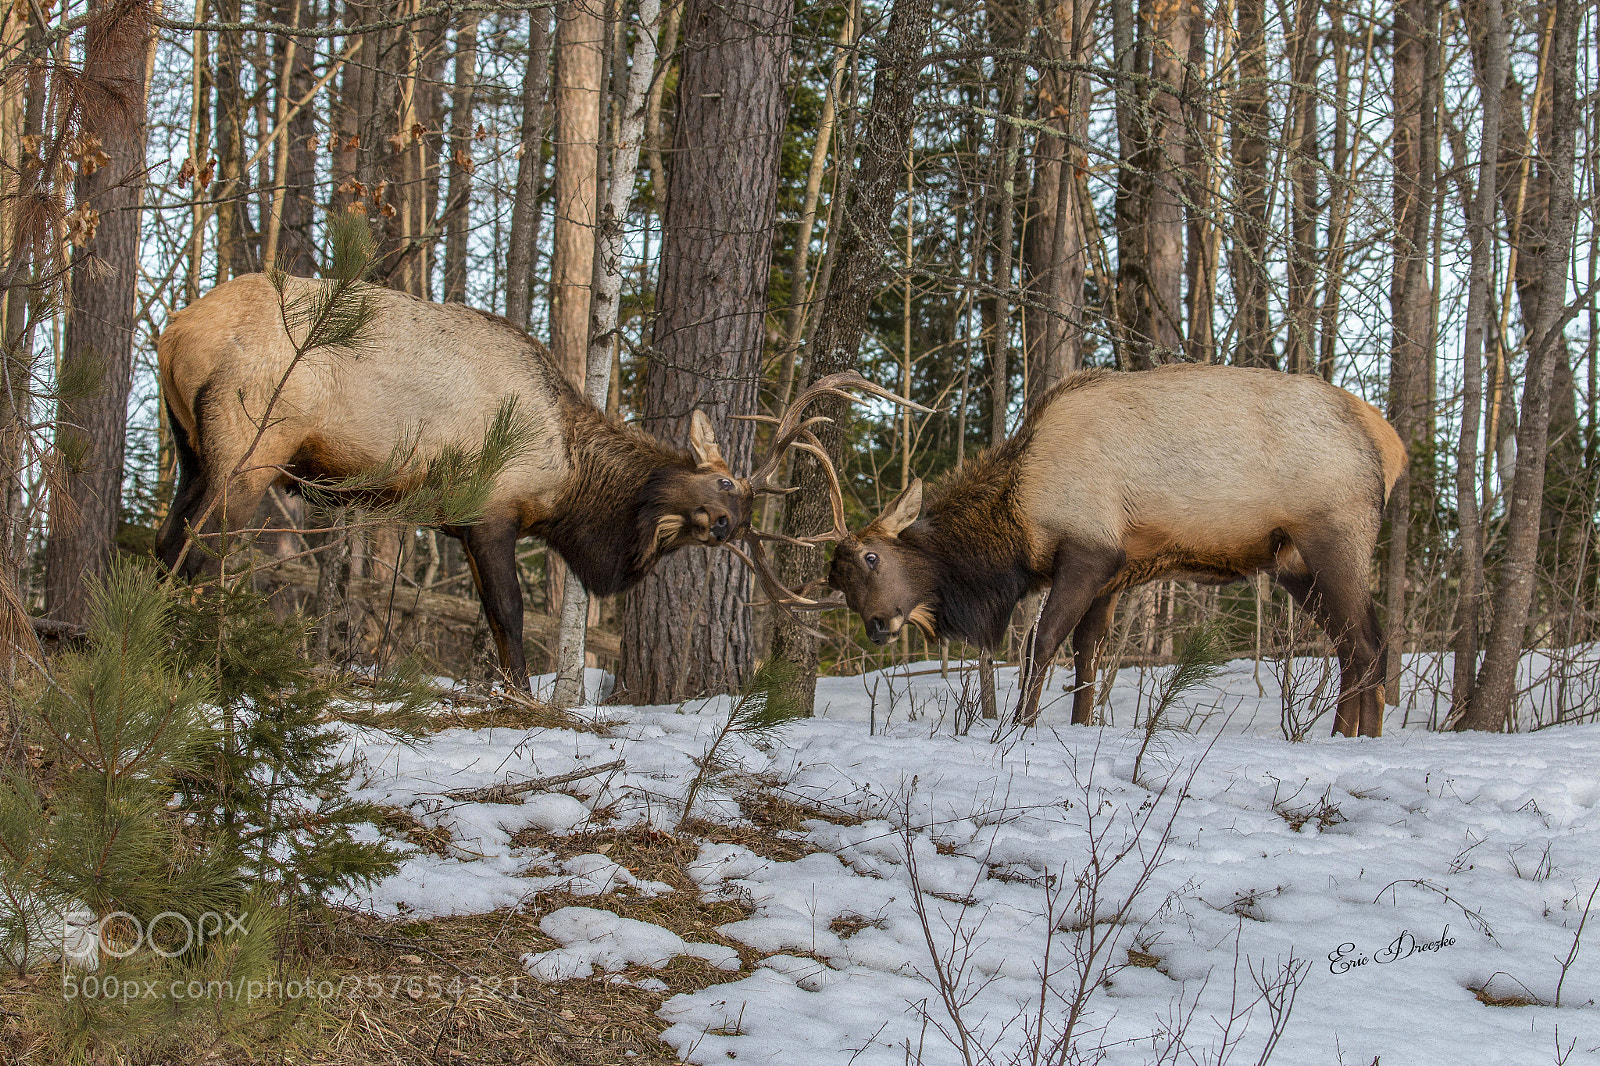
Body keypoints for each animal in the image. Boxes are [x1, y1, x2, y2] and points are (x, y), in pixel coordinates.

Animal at [155, 272, 915, 685]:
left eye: (745, 518)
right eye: (724, 489)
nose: (727, 526)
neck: (568, 482)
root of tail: (175, 330)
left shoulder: (457, 522)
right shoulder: (491, 510)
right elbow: (510, 613)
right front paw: (519, 693)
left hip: (190, 448)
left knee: (165, 543)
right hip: (251, 445)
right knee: (200, 551)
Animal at [757, 364, 1406, 737]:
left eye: (871, 558)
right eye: (838, 583)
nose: (876, 625)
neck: (1017, 527)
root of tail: (1391, 443)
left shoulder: (1088, 551)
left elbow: (1040, 643)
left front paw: (1018, 726)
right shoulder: (1116, 572)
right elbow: (1087, 655)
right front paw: (1079, 724)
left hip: (1334, 536)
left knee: (1368, 642)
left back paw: (1350, 737)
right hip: (1293, 562)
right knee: (1357, 644)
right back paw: (1357, 733)